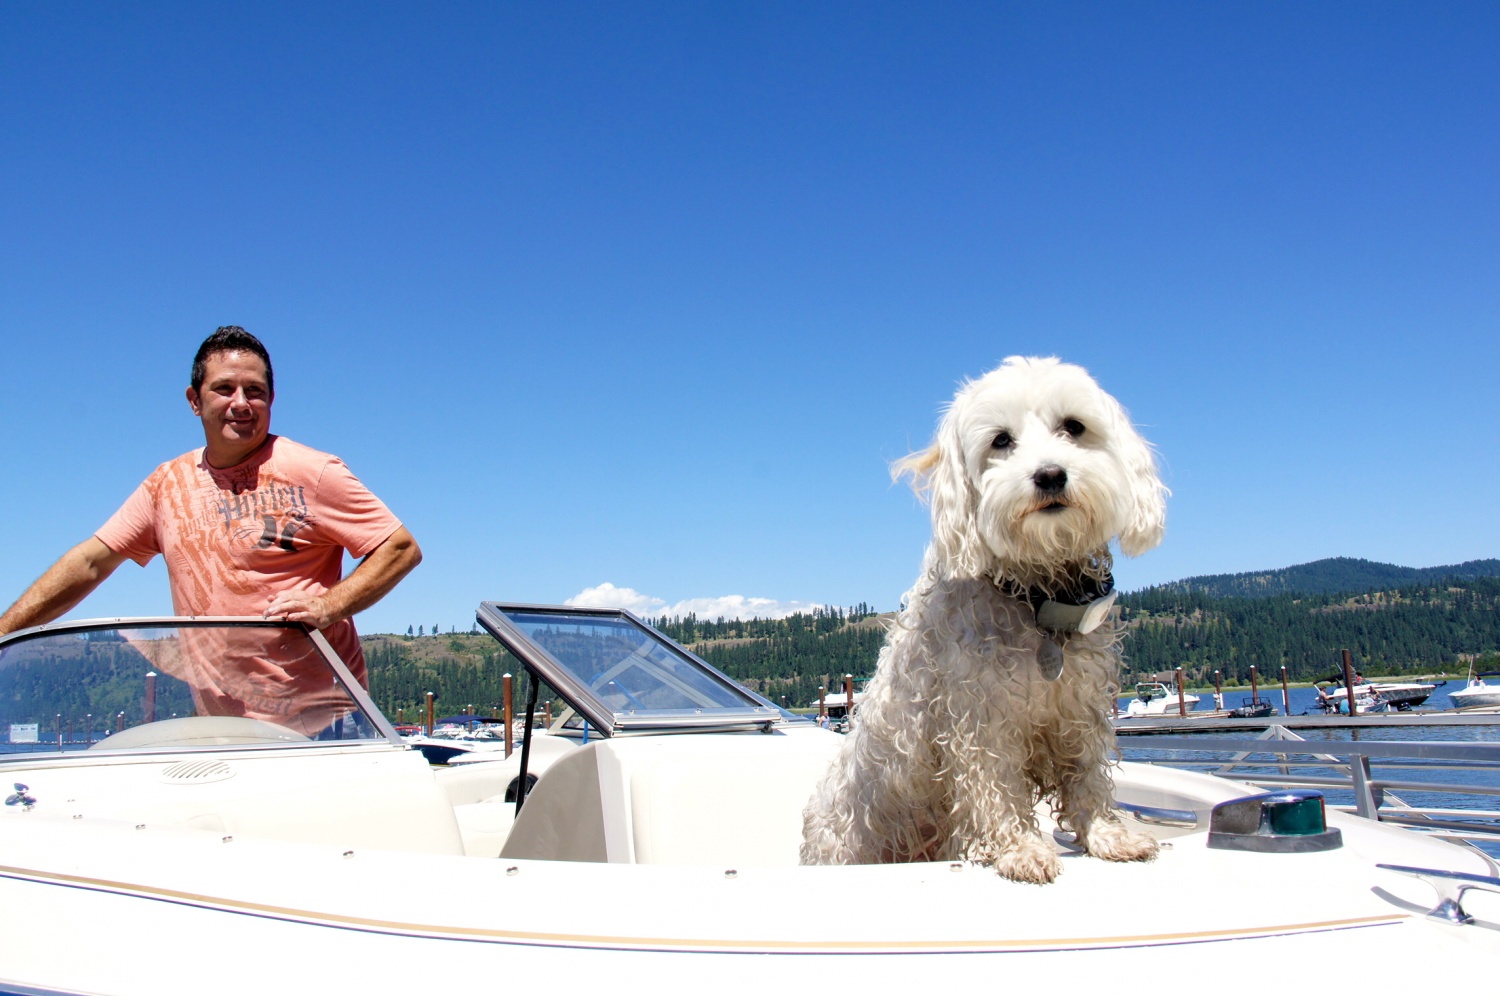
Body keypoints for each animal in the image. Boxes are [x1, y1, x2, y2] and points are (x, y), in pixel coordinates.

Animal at [804, 358, 1164, 888]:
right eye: (1001, 440)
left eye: (1074, 427)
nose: (1050, 475)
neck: (1034, 595)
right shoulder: (977, 717)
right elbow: (994, 786)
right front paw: (1021, 850)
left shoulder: (1080, 708)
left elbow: (1087, 776)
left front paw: (1106, 835)